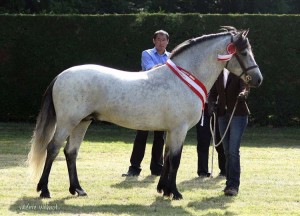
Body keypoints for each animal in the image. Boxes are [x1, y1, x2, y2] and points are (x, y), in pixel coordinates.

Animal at [28, 26, 262, 199]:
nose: (257, 79)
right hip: (67, 122)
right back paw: (44, 190)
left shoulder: (170, 130)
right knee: (53, 149)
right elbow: (175, 159)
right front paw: (175, 193)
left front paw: (164, 190)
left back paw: (77, 189)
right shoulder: (179, 129)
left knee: (71, 152)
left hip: (82, 122)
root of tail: (61, 75)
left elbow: (166, 157)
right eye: (243, 52)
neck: (184, 78)